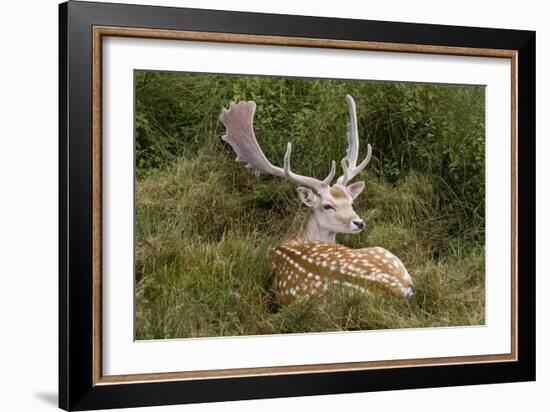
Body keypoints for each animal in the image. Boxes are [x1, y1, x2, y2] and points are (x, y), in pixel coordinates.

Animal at [220, 95, 414, 304]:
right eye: (328, 206)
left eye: (351, 202)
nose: (359, 222)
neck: (295, 240)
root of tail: (397, 288)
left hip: (385, 253)